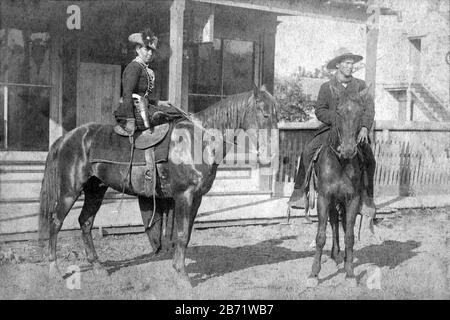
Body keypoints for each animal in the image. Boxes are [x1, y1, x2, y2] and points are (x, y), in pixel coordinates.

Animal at [38, 84, 278, 284]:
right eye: (264, 113)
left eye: (276, 115)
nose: (271, 153)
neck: (196, 141)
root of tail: (66, 138)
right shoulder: (184, 196)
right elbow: (181, 234)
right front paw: (182, 277)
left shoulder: (196, 199)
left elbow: (186, 235)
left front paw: (177, 269)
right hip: (70, 191)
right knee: (56, 222)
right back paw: (54, 269)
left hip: (95, 190)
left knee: (85, 222)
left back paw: (97, 266)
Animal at [306, 85, 372, 288]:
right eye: (338, 111)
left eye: (361, 112)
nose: (349, 150)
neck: (340, 163)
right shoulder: (323, 198)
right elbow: (320, 236)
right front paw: (314, 274)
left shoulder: (352, 199)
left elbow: (349, 236)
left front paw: (350, 273)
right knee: (334, 222)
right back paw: (335, 255)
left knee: (339, 224)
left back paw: (340, 258)